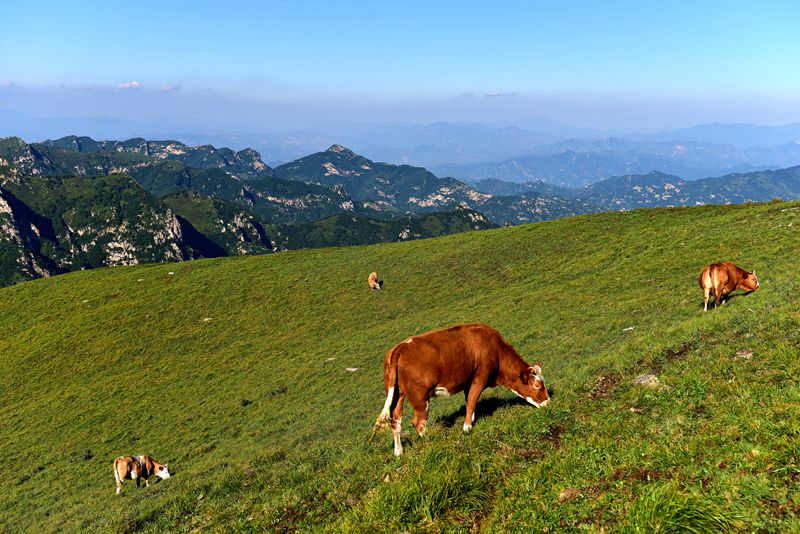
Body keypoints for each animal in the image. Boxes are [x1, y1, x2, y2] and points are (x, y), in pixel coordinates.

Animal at [370, 324, 552, 458]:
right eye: (537, 385)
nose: (549, 403)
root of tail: (399, 348)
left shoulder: (468, 381)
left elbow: (469, 401)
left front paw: (471, 420)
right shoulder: (480, 376)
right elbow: (471, 401)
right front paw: (467, 428)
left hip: (397, 394)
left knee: (395, 420)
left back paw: (399, 452)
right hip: (420, 397)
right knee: (418, 422)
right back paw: (432, 441)